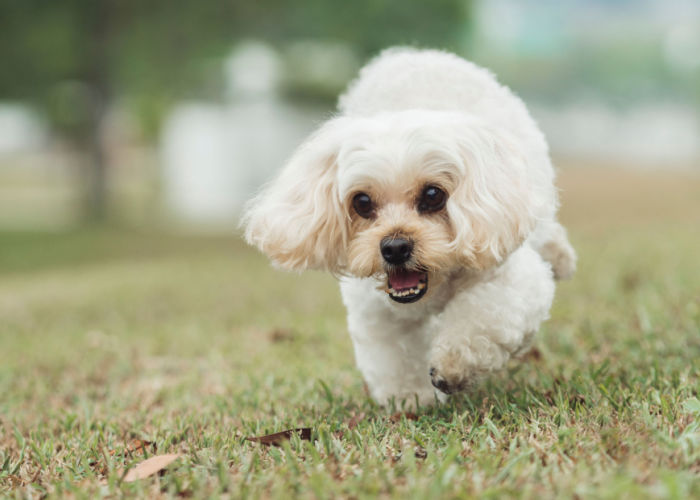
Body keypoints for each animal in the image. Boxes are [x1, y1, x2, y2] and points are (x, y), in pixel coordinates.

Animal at [243, 47, 576, 406]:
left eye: (433, 195)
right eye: (362, 202)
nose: (394, 248)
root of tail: (409, 54)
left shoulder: (510, 275)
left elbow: (484, 318)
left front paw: (452, 367)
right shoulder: (377, 312)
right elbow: (394, 356)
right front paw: (413, 398)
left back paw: (560, 257)